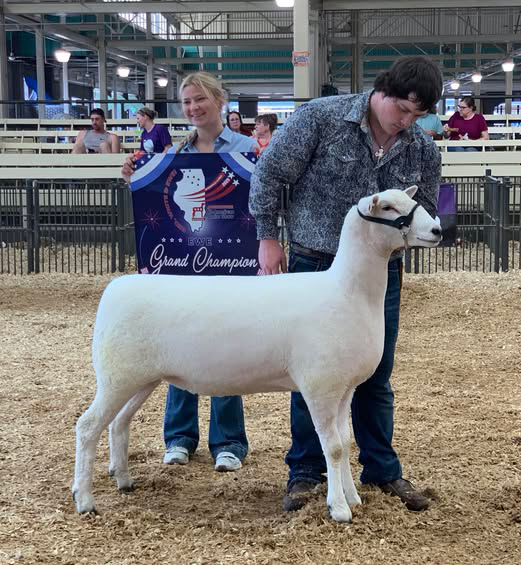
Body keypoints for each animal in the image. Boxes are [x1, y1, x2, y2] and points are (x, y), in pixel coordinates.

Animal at [73, 186, 442, 523]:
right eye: (389, 207)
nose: (438, 230)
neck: (348, 291)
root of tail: (114, 289)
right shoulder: (320, 387)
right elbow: (333, 447)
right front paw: (338, 509)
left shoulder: (344, 388)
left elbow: (347, 442)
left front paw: (352, 498)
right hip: (116, 376)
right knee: (88, 426)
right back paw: (85, 500)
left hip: (141, 379)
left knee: (119, 423)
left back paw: (123, 481)